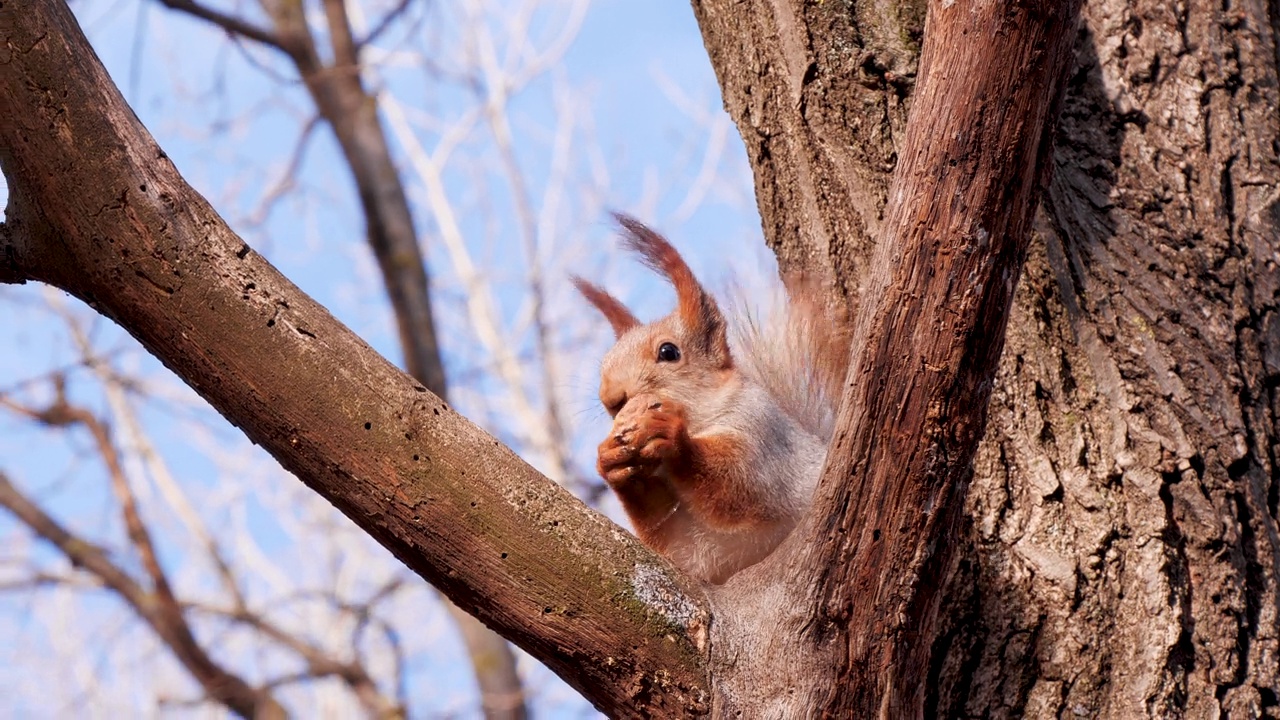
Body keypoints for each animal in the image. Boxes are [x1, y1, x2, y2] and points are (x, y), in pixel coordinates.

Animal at [573, 213, 849, 584]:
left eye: (668, 352)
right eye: (605, 363)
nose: (611, 398)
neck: (701, 418)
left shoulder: (763, 435)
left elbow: (739, 485)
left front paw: (673, 438)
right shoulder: (692, 548)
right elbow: (677, 542)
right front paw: (611, 462)